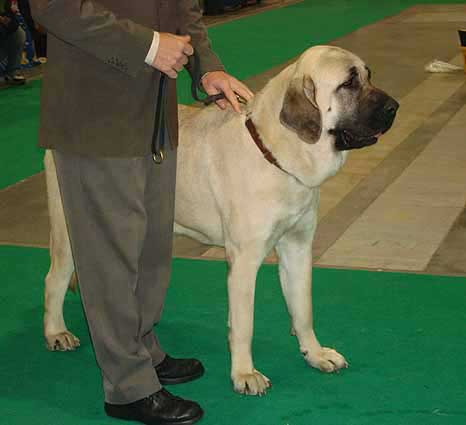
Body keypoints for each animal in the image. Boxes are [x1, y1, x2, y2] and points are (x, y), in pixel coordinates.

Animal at [42, 46, 396, 394]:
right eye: (348, 83)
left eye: (367, 75)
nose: (394, 107)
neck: (275, 152)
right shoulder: (244, 261)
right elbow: (243, 323)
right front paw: (244, 373)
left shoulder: (297, 247)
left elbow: (303, 308)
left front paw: (315, 353)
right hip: (68, 231)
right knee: (54, 279)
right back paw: (56, 332)